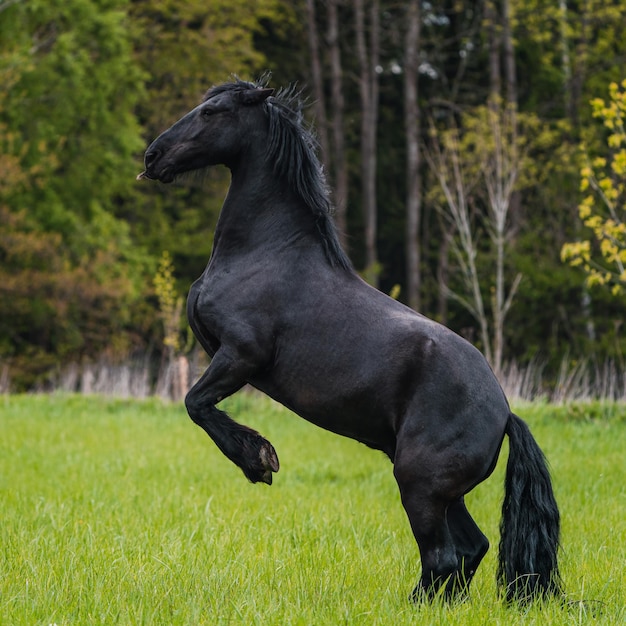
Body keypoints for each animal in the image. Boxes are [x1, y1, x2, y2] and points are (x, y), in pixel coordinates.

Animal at [138, 75, 560, 604]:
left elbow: (196, 404)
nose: (153, 156)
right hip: (443, 492)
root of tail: (505, 413)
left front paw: (259, 460)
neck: (264, 253)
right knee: (470, 550)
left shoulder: (240, 355)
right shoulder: (223, 355)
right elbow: (198, 404)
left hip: (419, 484)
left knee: (442, 557)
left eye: (212, 112)